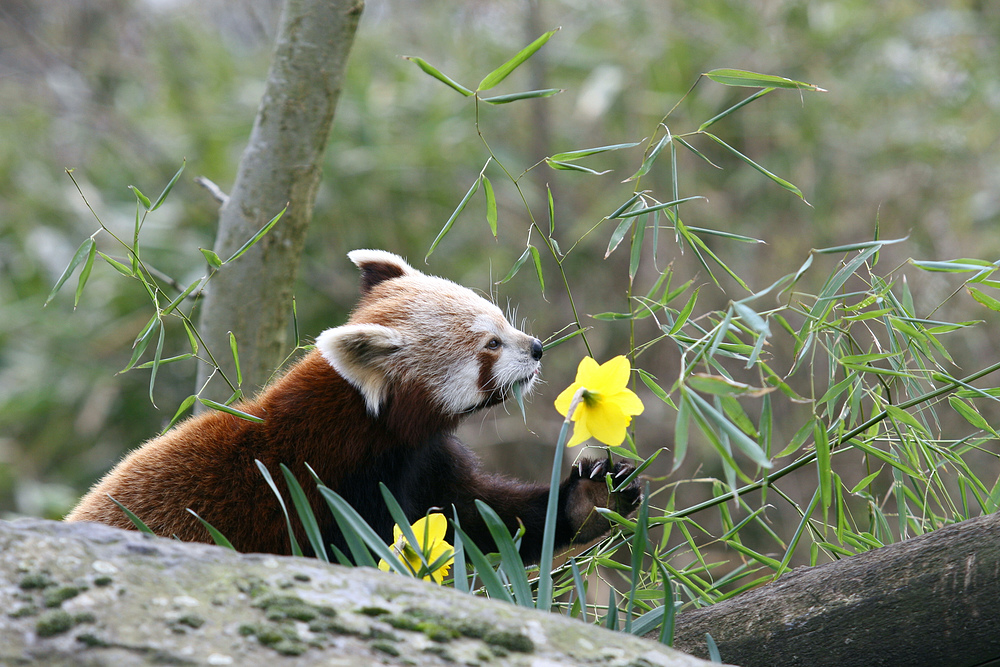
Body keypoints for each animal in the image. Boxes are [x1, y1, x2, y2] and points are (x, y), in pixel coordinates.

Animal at [66, 252, 640, 564]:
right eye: (491, 344)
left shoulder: (424, 463)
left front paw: (590, 498)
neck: (369, 435)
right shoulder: (325, 492)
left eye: (502, 320)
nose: (537, 348)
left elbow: (484, 516)